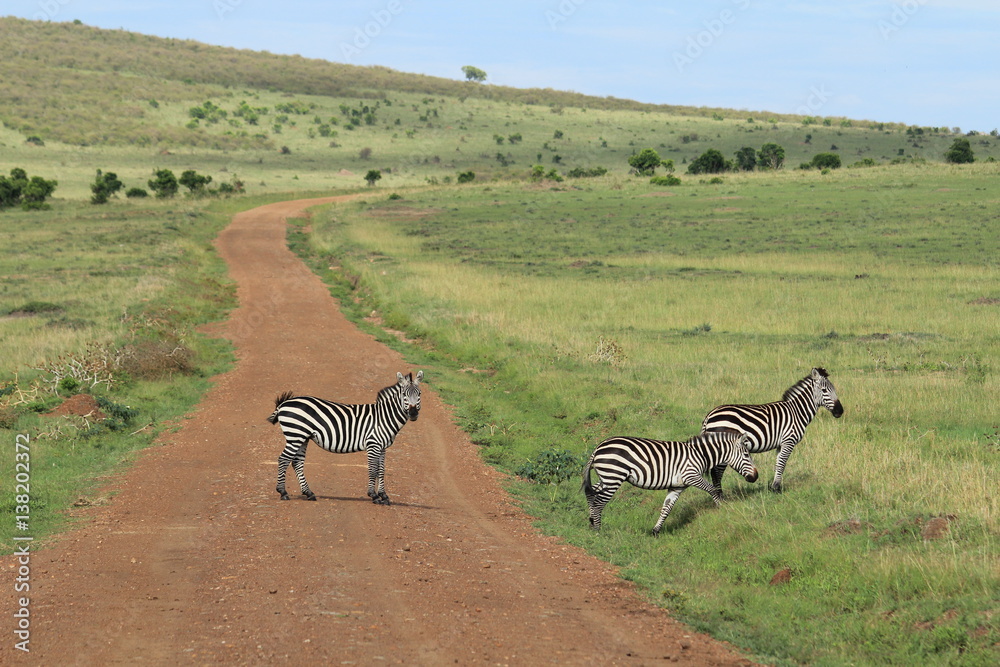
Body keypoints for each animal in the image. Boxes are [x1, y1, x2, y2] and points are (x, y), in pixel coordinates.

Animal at [267, 371, 423, 504]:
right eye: (404, 394)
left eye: (419, 394)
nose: (413, 414)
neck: (384, 417)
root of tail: (283, 403)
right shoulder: (373, 444)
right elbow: (373, 469)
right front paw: (374, 495)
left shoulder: (383, 447)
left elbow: (381, 470)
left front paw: (383, 495)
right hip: (295, 436)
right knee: (283, 459)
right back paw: (283, 492)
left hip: (302, 438)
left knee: (296, 462)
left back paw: (308, 493)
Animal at [582, 429, 758, 536]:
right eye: (747, 455)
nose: (755, 476)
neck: (701, 454)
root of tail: (598, 447)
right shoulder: (691, 476)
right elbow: (713, 490)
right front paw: (722, 509)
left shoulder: (677, 487)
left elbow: (666, 509)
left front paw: (655, 531)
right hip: (613, 477)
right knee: (598, 502)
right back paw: (597, 530)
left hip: (606, 478)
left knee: (590, 493)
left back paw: (591, 522)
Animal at [700, 367, 843, 494]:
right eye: (824, 390)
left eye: (834, 389)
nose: (840, 411)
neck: (796, 412)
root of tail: (709, 415)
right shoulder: (788, 441)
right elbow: (782, 464)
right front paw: (776, 488)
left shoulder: (781, 444)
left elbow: (778, 464)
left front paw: (774, 487)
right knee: (716, 472)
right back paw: (720, 497)